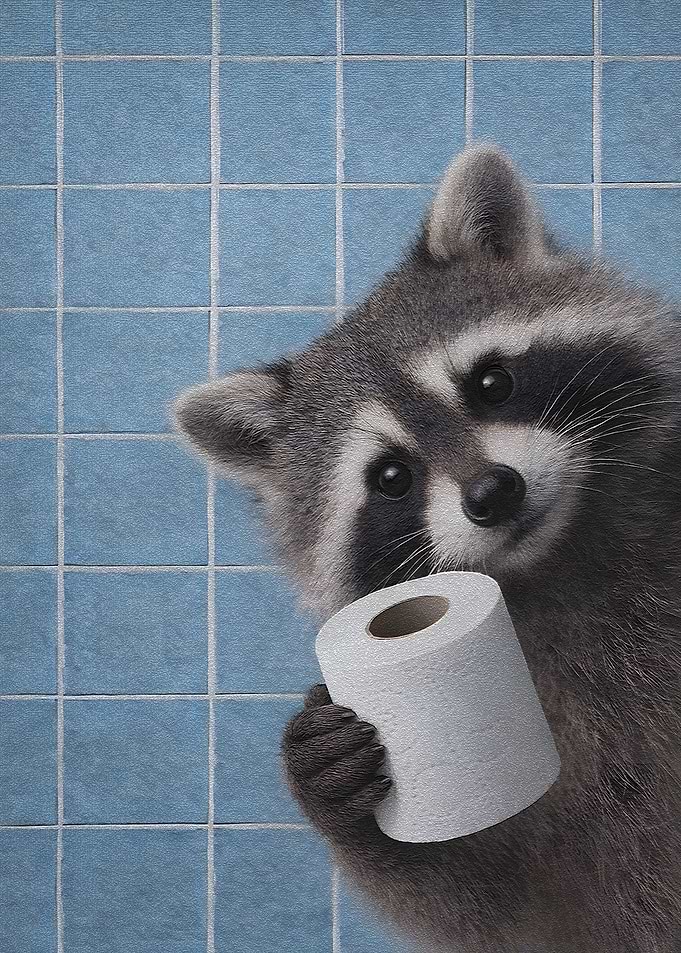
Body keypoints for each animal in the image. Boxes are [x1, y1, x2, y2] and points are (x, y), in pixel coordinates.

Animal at [174, 145, 681, 953]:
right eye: (389, 477)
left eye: (492, 381)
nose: (492, 493)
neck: (558, 560)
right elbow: (500, 912)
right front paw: (345, 807)